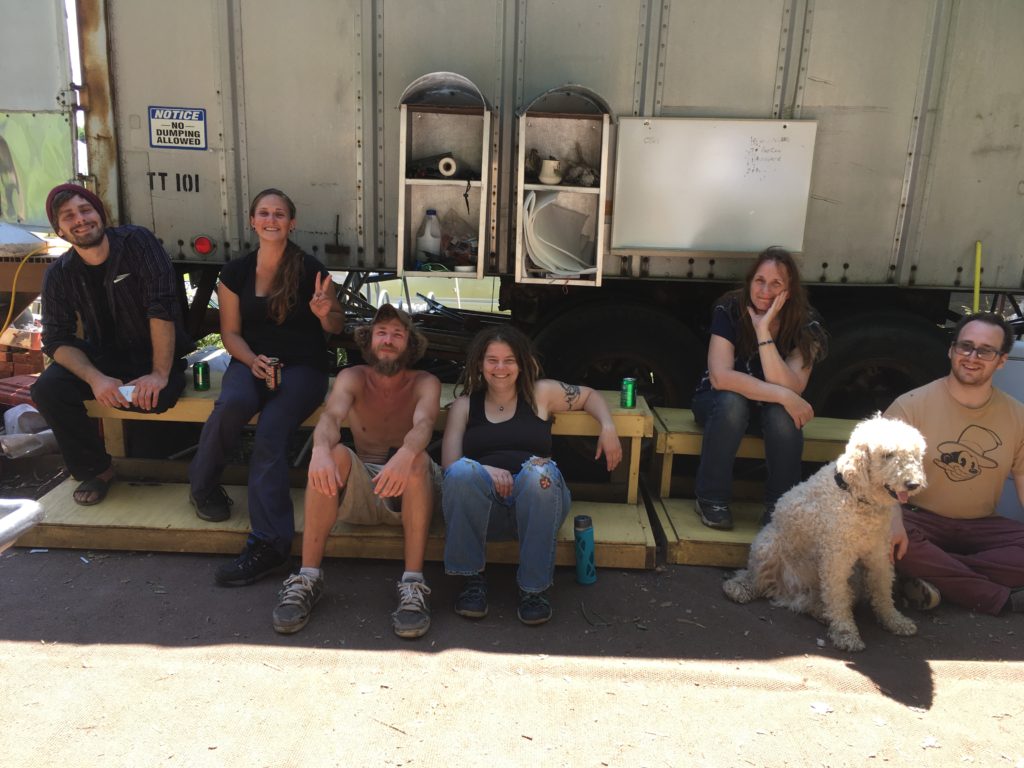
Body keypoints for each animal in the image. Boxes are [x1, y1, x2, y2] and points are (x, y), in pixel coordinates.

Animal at [720, 417, 929, 651]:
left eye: (915, 454)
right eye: (888, 454)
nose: (913, 484)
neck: (857, 497)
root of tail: (787, 592)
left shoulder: (879, 554)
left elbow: (883, 589)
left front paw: (895, 621)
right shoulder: (836, 558)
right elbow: (837, 596)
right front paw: (846, 633)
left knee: (811, 602)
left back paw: (820, 612)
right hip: (767, 545)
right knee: (757, 579)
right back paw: (739, 588)